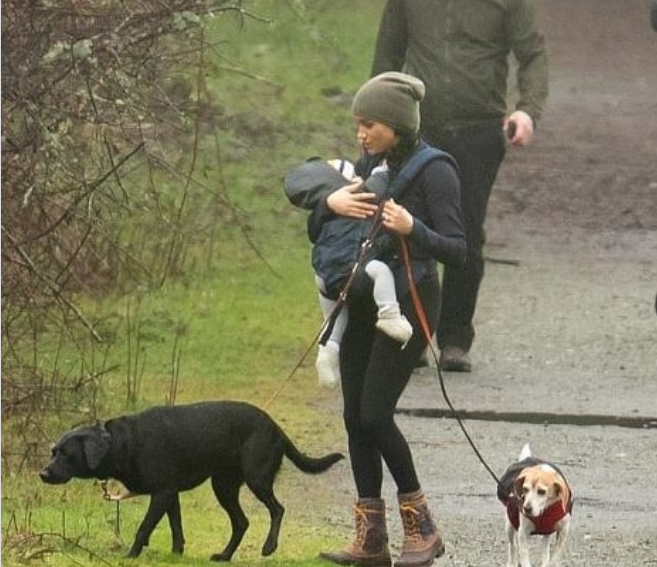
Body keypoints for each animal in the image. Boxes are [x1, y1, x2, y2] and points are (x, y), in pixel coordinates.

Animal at [37, 402, 344, 560]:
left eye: (66, 454)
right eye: (53, 452)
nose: (43, 474)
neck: (119, 442)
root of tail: (276, 427)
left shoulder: (161, 493)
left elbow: (144, 528)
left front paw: (130, 556)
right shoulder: (170, 494)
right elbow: (176, 528)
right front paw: (176, 554)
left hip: (256, 478)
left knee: (277, 509)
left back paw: (269, 547)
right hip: (223, 485)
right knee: (241, 522)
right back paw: (224, 555)